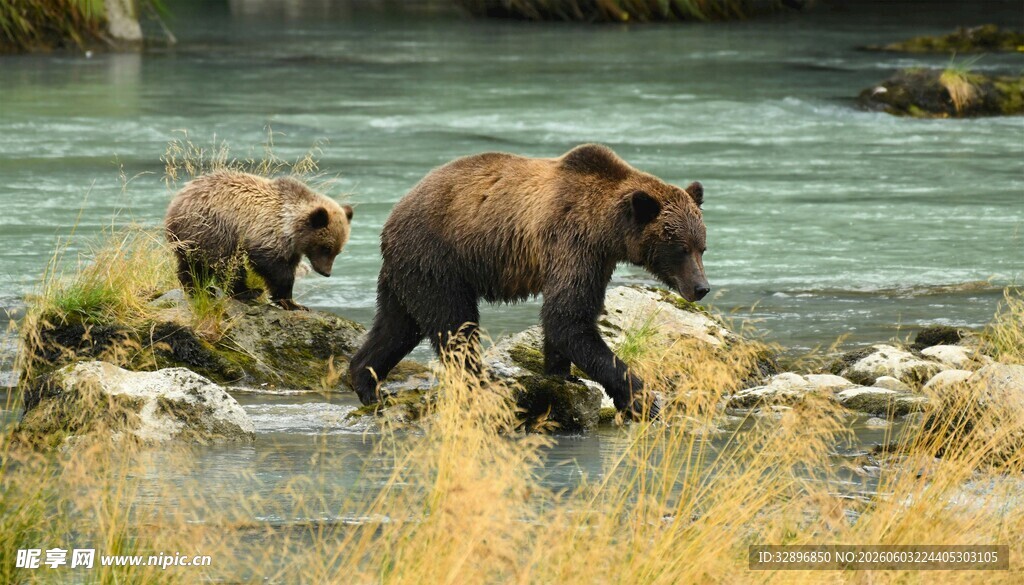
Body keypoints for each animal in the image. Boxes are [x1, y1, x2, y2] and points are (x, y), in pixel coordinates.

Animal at [165, 170, 353, 311]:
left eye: (338, 250)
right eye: (326, 248)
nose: (326, 272)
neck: (291, 228)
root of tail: (175, 204)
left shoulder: (291, 248)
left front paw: (293, 302)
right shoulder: (267, 233)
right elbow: (273, 267)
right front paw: (289, 301)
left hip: (193, 237)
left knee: (191, 264)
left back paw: (199, 288)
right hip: (213, 229)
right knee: (227, 263)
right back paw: (247, 291)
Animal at [349, 144, 709, 418]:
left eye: (702, 246)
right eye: (681, 248)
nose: (702, 287)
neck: (606, 229)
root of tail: (392, 218)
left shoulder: (596, 260)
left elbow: (569, 318)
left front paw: (561, 373)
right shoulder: (572, 241)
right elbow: (568, 318)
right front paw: (642, 399)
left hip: (407, 273)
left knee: (396, 326)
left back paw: (369, 384)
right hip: (439, 260)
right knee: (454, 325)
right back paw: (482, 382)